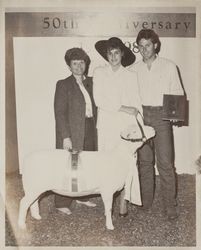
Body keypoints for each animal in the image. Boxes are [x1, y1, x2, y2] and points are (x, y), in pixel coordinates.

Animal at [18, 114, 155, 230]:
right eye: (136, 131)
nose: (153, 129)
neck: (120, 156)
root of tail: (26, 159)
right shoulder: (107, 190)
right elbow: (109, 208)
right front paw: (110, 226)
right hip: (34, 187)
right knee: (23, 203)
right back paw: (22, 225)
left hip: (35, 187)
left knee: (34, 202)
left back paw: (37, 216)